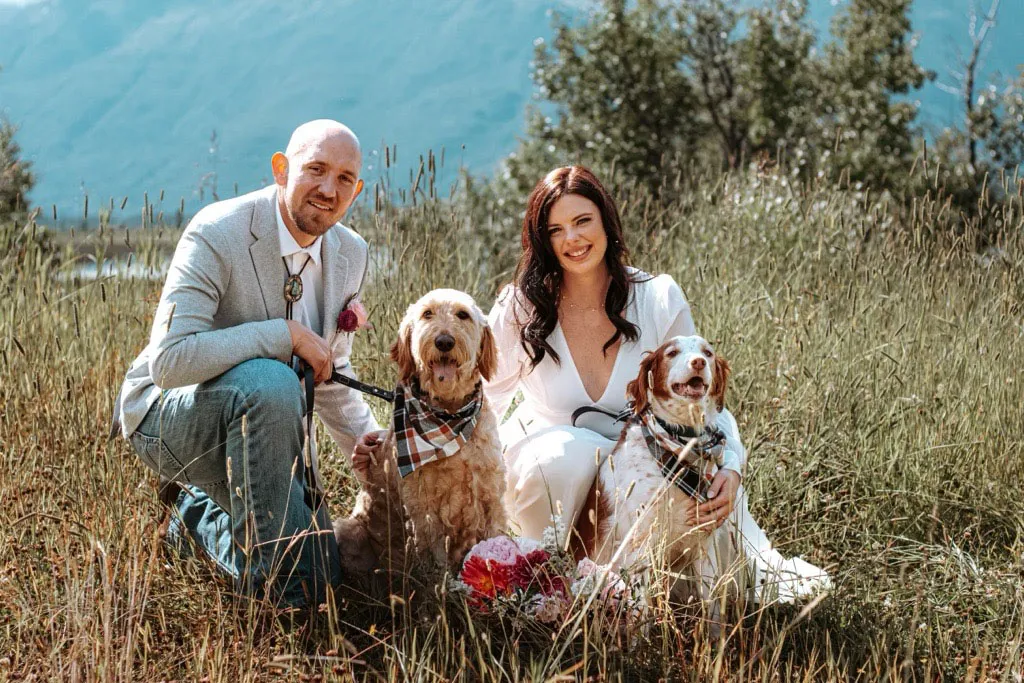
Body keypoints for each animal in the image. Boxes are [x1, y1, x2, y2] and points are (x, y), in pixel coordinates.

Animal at [333, 289, 507, 578]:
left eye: (463, 314)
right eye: (428, 314)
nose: (444, 341)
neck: (448, 416)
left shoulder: (490, 492)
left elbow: (495, 537)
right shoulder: (422, 506)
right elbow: (433, 553)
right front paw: (443, 583)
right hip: (349, 531)